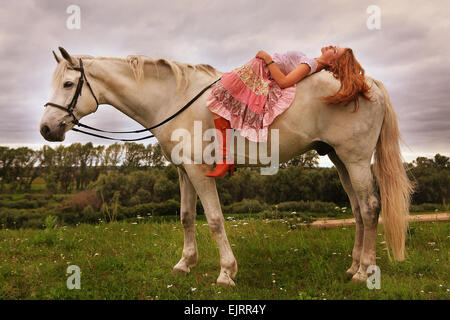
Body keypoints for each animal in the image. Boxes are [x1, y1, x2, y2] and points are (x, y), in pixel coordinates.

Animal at [42, 46, 414, 286]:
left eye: (68, 84)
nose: (46, 129)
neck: (174, 99)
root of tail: (368, 83)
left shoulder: (198, 170)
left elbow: (215, 220)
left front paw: (226, 272)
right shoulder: (184, 170)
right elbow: (186, 216)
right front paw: (184, 264)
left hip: (355, 159)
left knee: (370, 207)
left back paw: (366, 271)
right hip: (340, 160)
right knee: (357, 210)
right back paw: (353, 268)